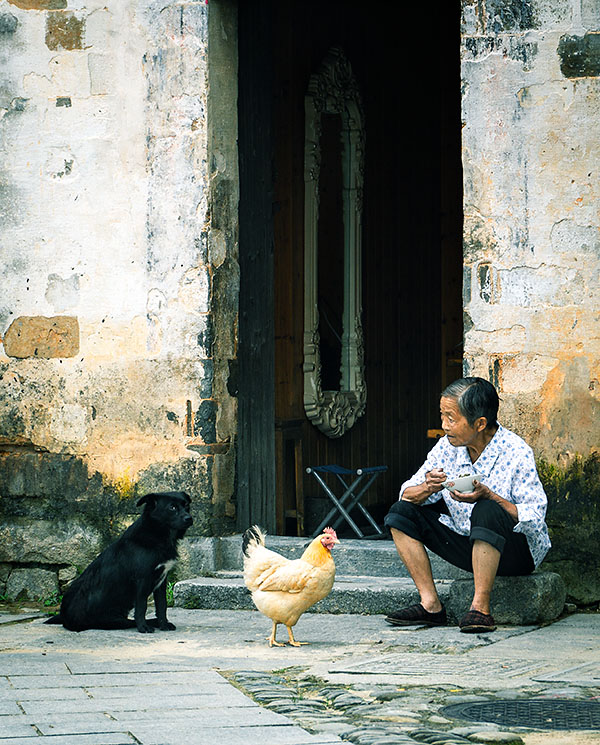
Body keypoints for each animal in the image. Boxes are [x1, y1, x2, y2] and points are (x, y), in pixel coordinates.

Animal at [46, 492, 193, 632]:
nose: (189, 518)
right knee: (129, 622)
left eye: (186, 506)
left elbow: (162, 606)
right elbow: (142, 607)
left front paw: (163, 624)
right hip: (112, 620)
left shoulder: (161, 581)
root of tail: (65, 617)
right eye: (172, 507)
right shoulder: (142, 580)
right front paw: (143, 628)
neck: (159, 535)